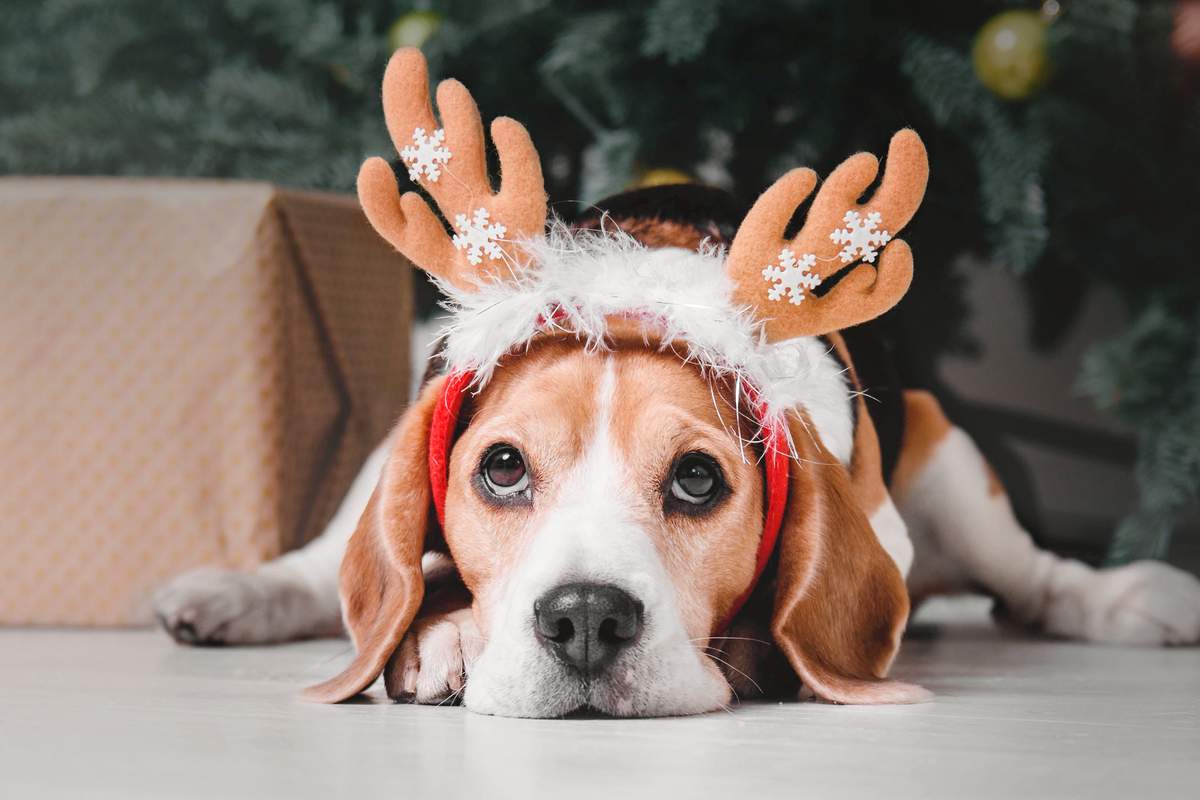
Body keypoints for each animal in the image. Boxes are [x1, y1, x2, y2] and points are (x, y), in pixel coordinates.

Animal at [154, 50, 1200, 714]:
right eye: (501, 468)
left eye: (699, 480)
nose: (584, 619)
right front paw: (444, 633)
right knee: (319, 566)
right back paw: (234, 595)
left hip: (951, 463)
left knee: (1039, 580)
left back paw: (1132, 599)